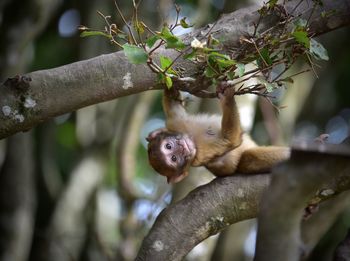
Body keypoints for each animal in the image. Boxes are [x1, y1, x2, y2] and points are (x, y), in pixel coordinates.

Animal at [146, 83, 290, 183]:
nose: (182, 147)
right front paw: (227, 98)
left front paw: (170, 78)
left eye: (168, 146)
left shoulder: (176, 124)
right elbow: (231, 140)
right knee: (249, 158)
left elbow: (173, 106)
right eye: (174, 158)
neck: (192, 138)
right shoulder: (201, 154)